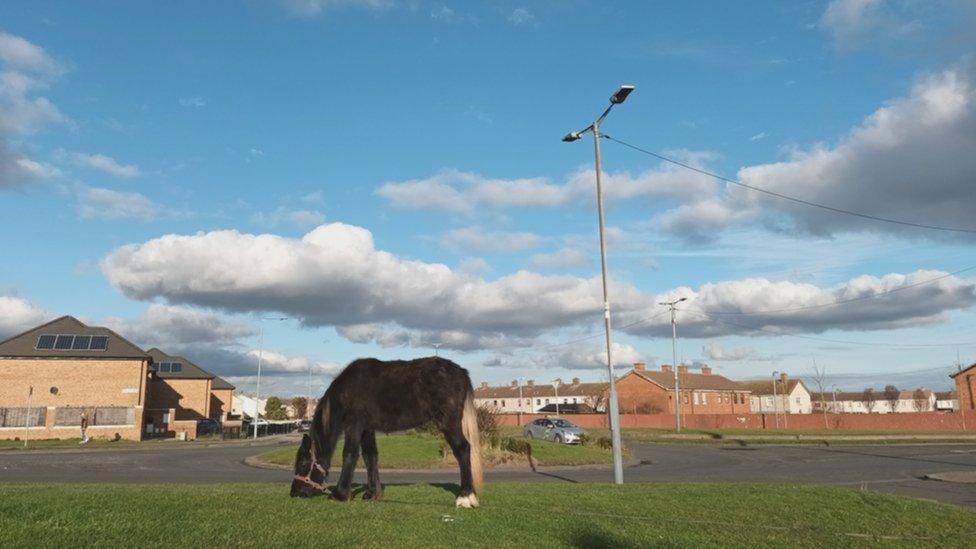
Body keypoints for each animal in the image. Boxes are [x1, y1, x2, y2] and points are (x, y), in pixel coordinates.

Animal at [292, 358, 486, 508]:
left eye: (303, 462)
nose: (295, 493)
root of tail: (461, 372)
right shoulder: (367, 429)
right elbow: (370, 457)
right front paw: (372, 493)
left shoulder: (354, 425)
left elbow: (349, 454)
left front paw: (340, 494)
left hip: (448, 422)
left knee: (463, 450)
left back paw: (465, 497)